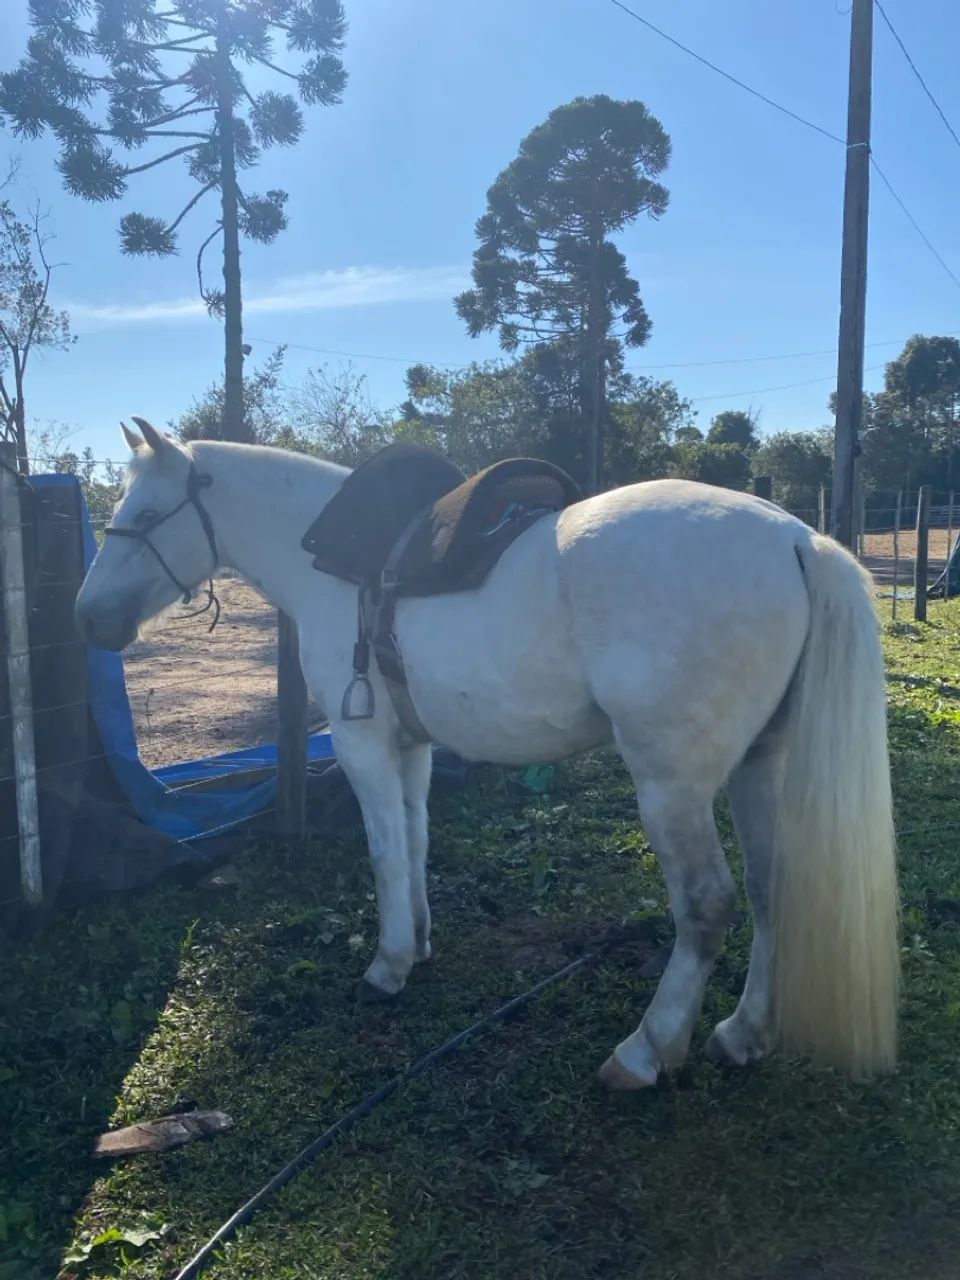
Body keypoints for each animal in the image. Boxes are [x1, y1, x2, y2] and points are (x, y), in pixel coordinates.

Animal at [74, 419, 899, 1090]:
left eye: (143, 515)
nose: (90, 619)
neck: (330, 563)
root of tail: (795, 539)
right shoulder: (411, 747)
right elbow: (413, 842)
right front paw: (418, 940)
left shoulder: (361, 743)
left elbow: (384, 853)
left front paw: (387, 966)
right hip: (760, 765)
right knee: (770, 885)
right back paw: (743, 1034)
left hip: (673, 787)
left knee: (706, 907)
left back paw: (645, 1051)